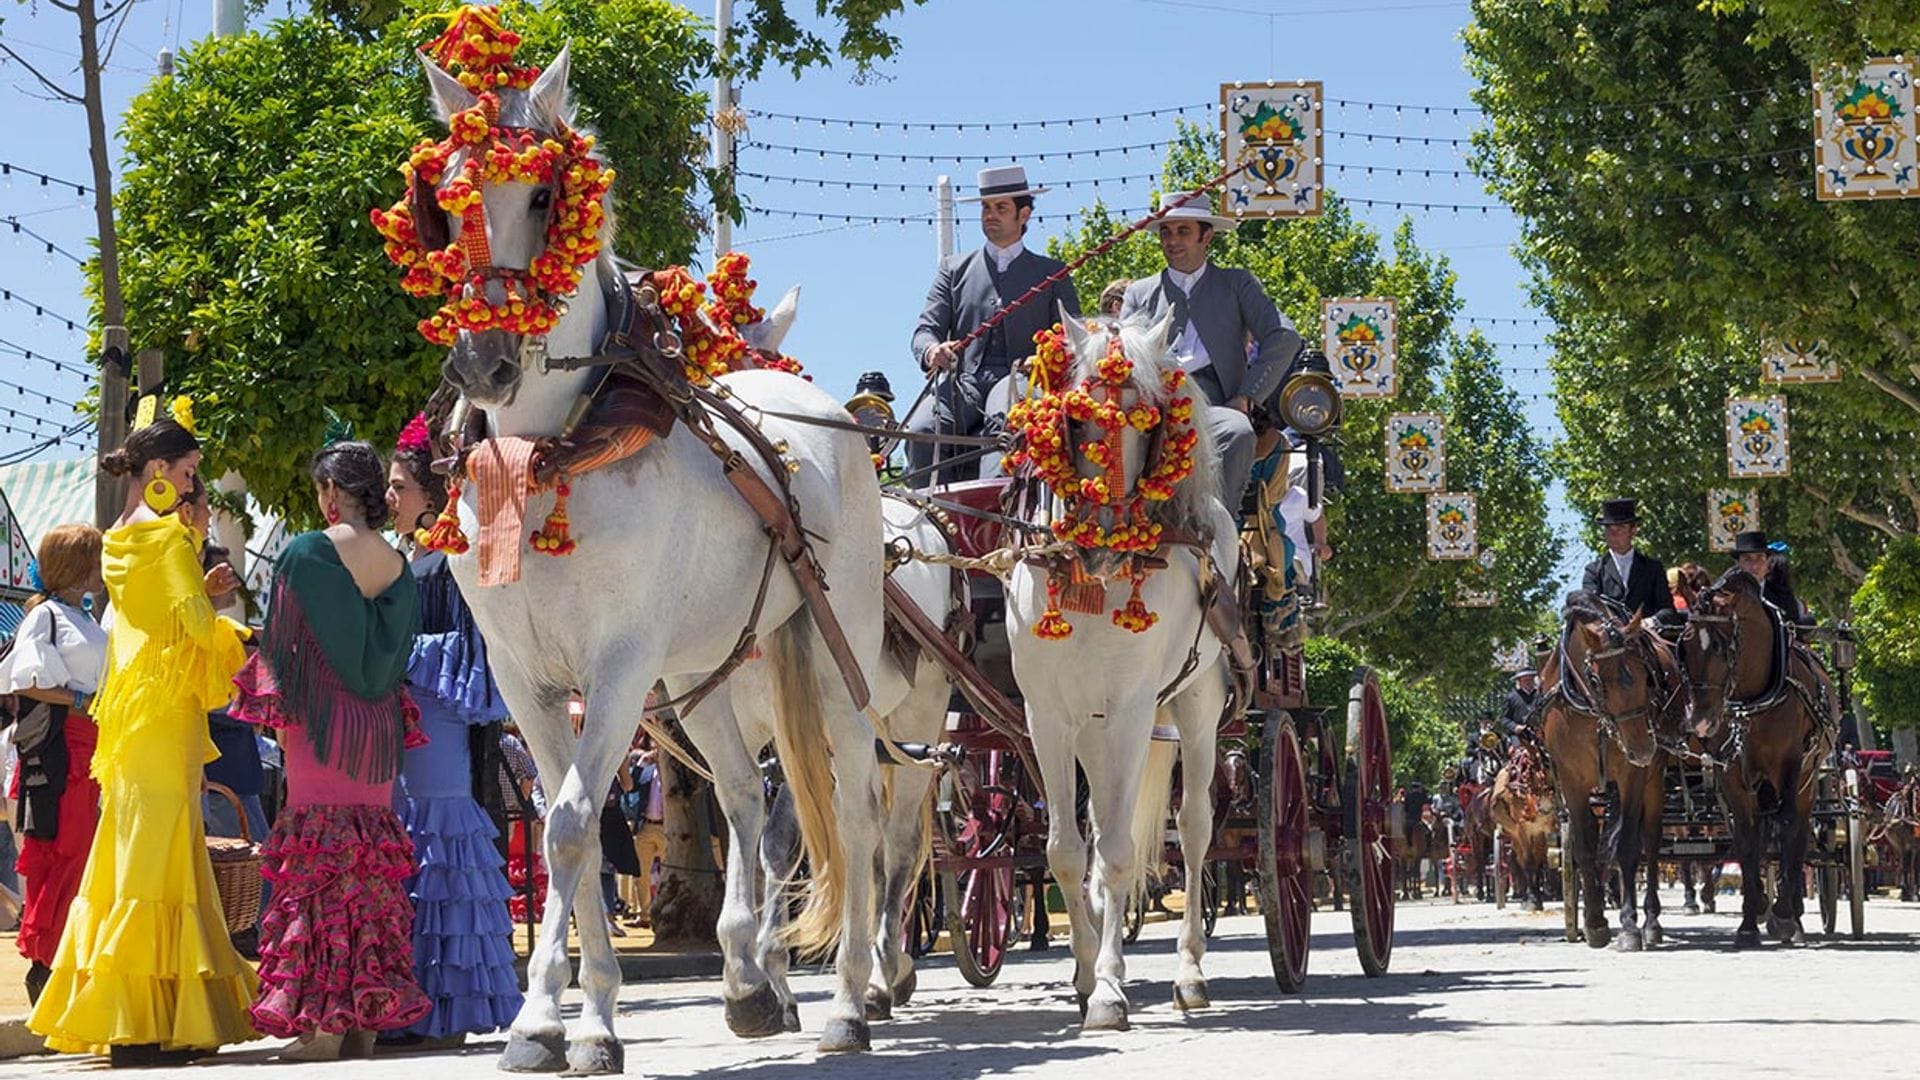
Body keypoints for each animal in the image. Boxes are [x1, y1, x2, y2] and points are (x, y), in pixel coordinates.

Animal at [416, 48, 887, 1060]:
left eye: (545, 194)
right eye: (447, 195)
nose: (482, 364)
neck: (548, 454)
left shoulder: (621, 665)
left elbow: (569, 825)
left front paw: (564, 1021)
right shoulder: (523, 678)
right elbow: (571, 831)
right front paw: (565, 1020)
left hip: (840, 649)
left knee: (857, 808)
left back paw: (847, 1005)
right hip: (705, 673)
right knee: (747, 796)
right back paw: (749, 983)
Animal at [998, 311, 1236, 1022]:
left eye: (1150, 424)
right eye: (1075, 423)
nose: (1105, 542)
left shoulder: (1133, 710)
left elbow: (1121, 851)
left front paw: (1107, 986)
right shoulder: (1047, 716)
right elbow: (1066, 851)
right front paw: (1083, 972)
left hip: (1194, 708)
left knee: (1193, 830)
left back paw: (1189, 972)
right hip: (1094, 728)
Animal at [1489, 734, 1566, 903]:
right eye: (1545, 763)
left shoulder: (1545, 828)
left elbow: (1544, 857)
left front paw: (1547, 891)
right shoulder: (1521, 829)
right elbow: (1529, 860)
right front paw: (1532, 897)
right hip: (1513, 835)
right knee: (1520, 859)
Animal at [1536, 591, 1674, 945]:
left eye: (1646, 674)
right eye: (1597, 679)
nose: (1642, 749)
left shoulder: (1631, 776)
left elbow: (1627, 847)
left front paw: (1629, 925)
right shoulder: (1571, 780)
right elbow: (1585, 847)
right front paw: (1595, 922)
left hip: (1653, 781)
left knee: (1650, 841)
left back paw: (1651, 922)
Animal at [1689, 568, 1835, 945]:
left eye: (1720, 646)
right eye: (1684, 643)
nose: (1701, 722)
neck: (1752, 699)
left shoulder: (1790, 767)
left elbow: (1787, 828)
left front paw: (1783, 912)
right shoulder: (1732, 775)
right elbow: (1746, 838)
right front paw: (1749, 920)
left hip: (1808, 779)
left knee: (1798, 832)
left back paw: (1792, 912)